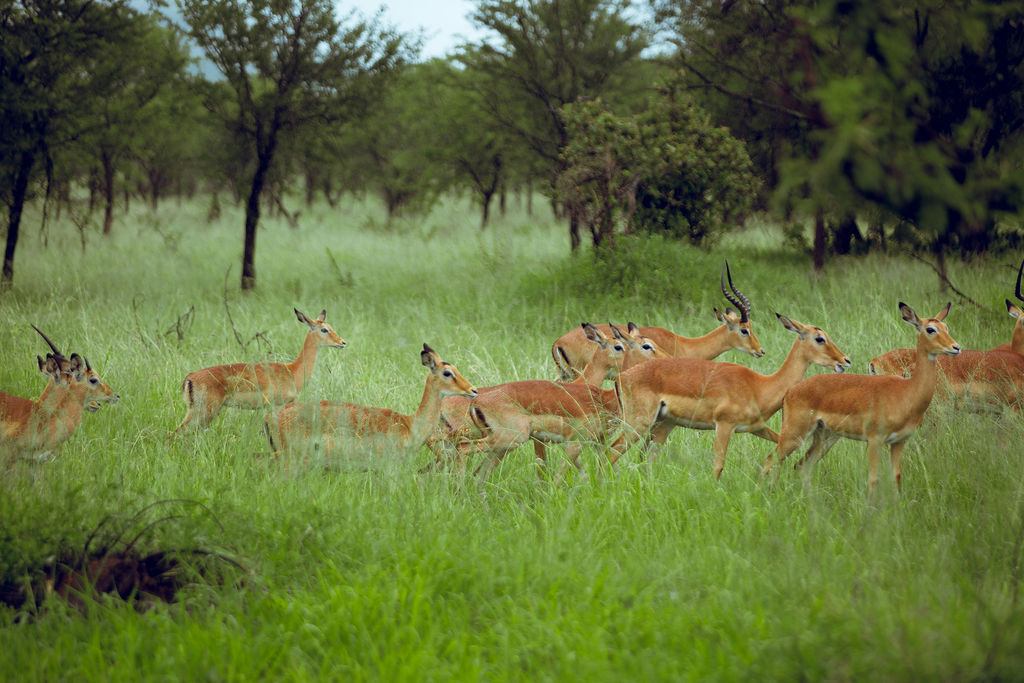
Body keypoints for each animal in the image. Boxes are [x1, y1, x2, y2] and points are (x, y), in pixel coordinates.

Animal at [175, 308, 345, 433]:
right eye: (324, 329)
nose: (342, 342)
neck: (291, 372)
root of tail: (189, 378)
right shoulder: (275, 406)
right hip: (204, 411)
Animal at [456, 323, 670, 482]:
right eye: (646, 346)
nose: (666, 358)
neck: (602, 397)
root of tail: (477, 401)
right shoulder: (572, 443)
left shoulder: (597, 442)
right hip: (508, 440)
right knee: (463, 450)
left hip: (501, 446)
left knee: (478, 473)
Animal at [610, 314, 850, 479]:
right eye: (820, 338)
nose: (845, 360)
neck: (760, 386)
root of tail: (622, 377)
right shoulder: (724, 426)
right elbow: (718, 466)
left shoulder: (756, 428)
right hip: (639, 423)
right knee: (612, 451)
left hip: (664, 424)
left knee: (644, 458)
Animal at [764, 302, 960, 495]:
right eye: (930, 329)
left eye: (946, 327)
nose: (956, 347)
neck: (907, 392)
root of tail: (790, 391)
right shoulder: (875, 440)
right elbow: (874, 479)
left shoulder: (899, 441)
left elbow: (896, 477)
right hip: (794, 434)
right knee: (772, 459)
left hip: (826, 437)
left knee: (801, 466)